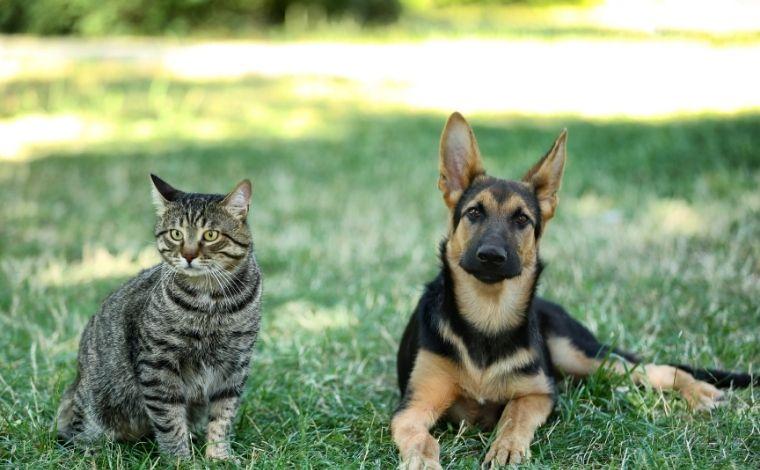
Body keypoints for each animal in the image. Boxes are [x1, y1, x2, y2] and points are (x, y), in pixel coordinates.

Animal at [56, 173, 264, 458]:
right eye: (176, 234)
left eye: (210, 235)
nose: (188, 255)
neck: (211, 303)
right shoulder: (158, 364)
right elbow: (169, 419)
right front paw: (181, 459)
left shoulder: (235, 364)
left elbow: (223, 415)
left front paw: (218, 455)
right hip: (91, 411)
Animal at [388, 112, 756, 468]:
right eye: (474, 212)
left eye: (521, 219)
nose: (491, 256)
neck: (487, 318)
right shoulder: (412, 408)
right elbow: (423, 440)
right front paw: (423, 462)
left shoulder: (539, 393)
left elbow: (514, 415)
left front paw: (506, 447)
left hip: (580, 355)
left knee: (657, 369)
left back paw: (699, 392)